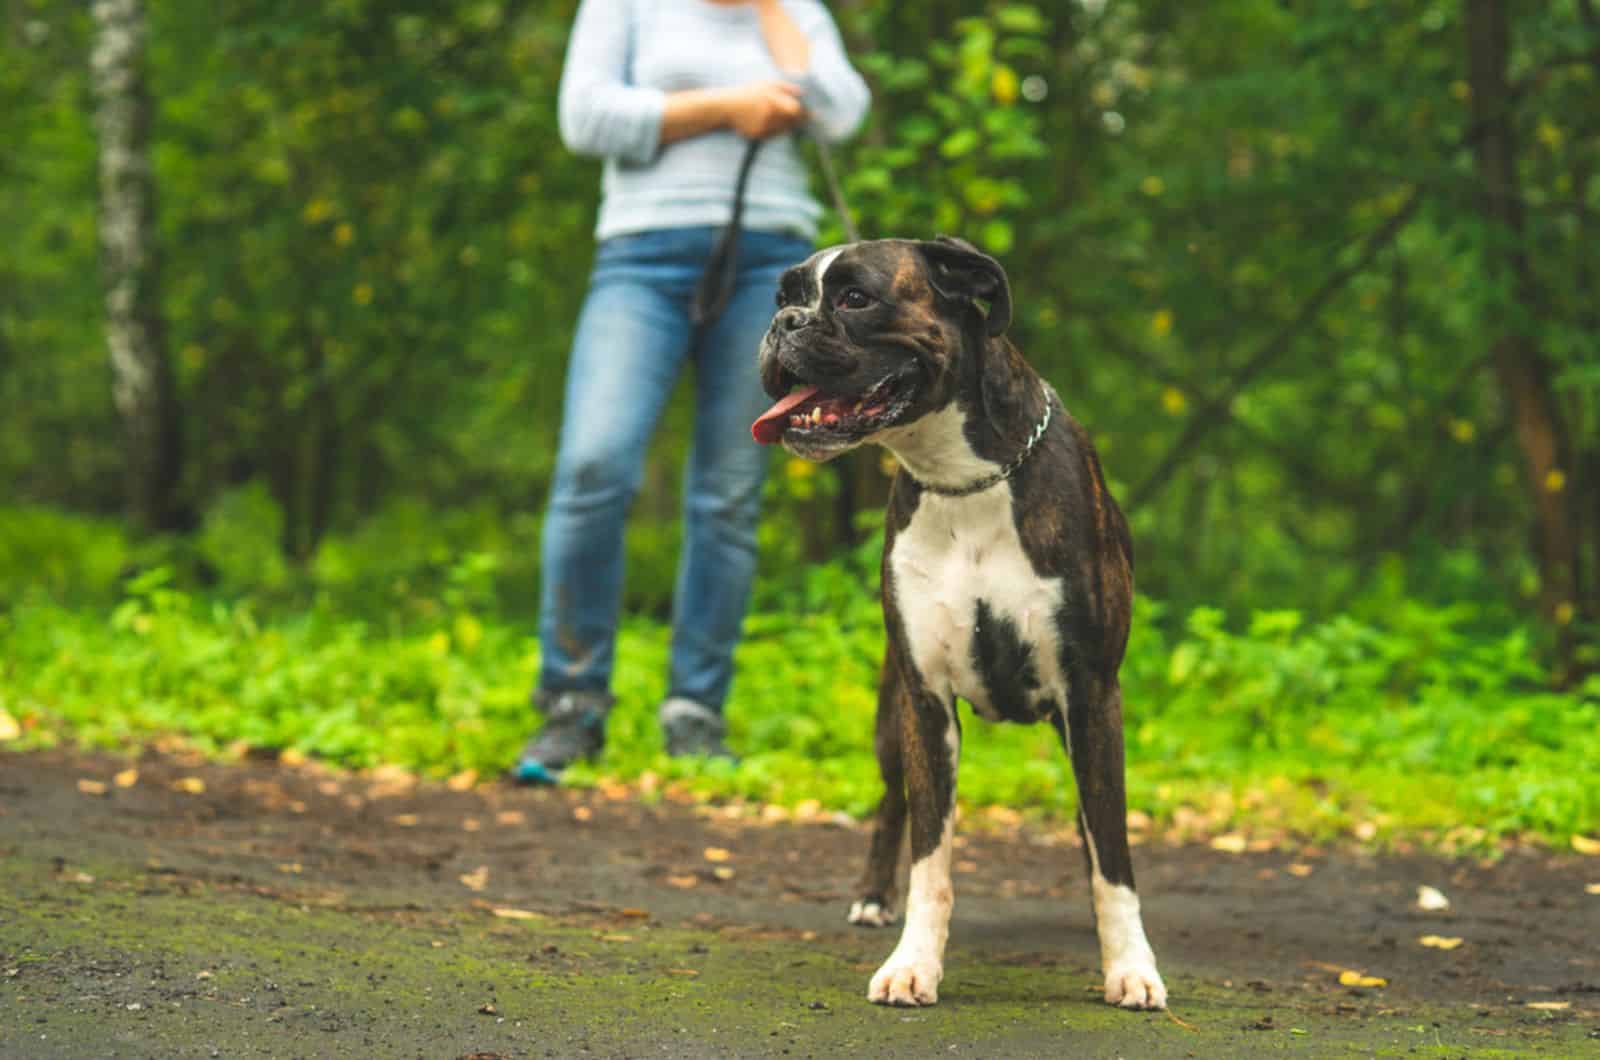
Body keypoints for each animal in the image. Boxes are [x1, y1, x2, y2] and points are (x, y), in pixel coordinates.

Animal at [748, 238, 1164, 1011]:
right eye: (783, 296)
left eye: (854, 298)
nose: (784, 323)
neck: (963, 479)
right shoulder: (926, 701)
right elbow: (930, 855)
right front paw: (913, 962)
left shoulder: (1093, 697)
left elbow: (1112, 855)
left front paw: (1130, 966)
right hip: (891, 720)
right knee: (892, 805)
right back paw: (872, 898)